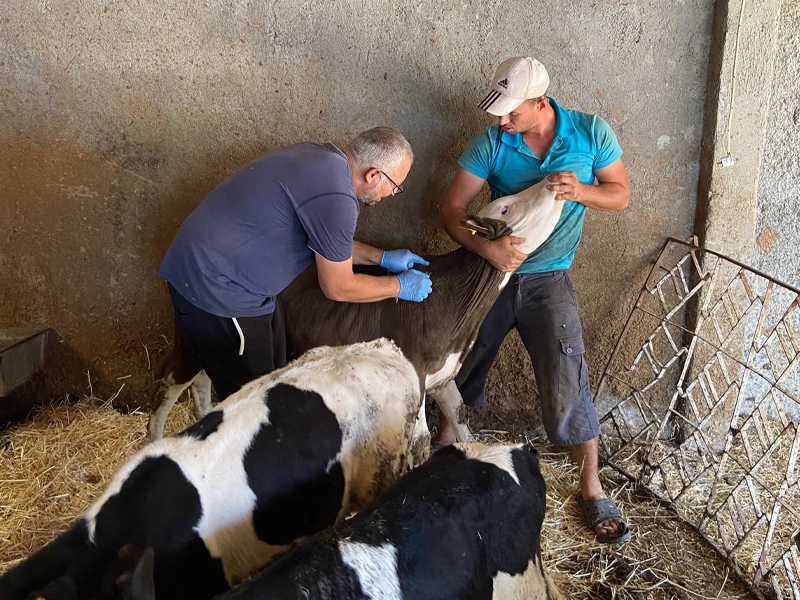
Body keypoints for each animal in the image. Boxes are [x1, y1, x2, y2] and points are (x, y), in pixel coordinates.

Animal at [150, 178, 564, 446]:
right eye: (507, 205)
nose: (555, 177)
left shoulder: (442, 374)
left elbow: (461, 417)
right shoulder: (411, 375)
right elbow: (418, 441)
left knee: (202, 382)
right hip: (203, 334)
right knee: (170, 383)